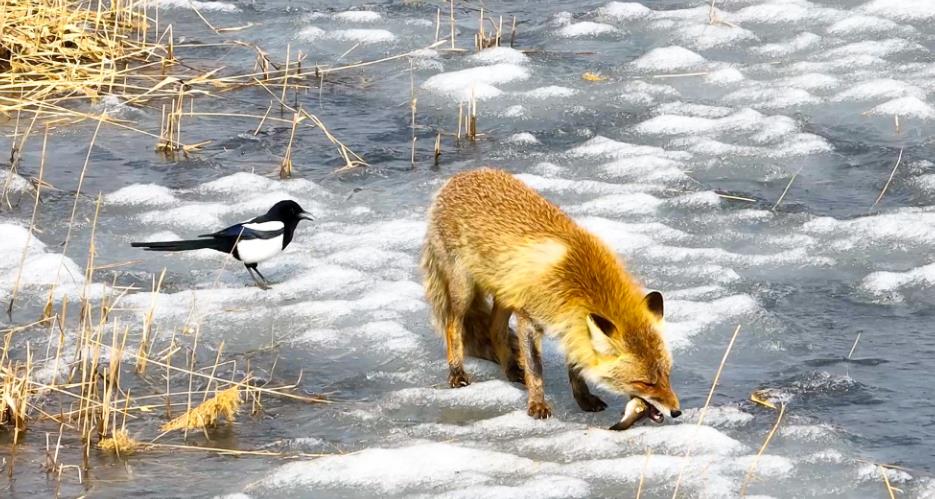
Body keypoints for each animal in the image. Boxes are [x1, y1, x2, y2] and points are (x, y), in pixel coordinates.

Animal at [422, 170, 680, 420]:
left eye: (667, 375)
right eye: (646, 383)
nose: (676, 411)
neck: (575, 278)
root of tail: (457, 177)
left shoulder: (570, 323)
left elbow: (575, 368)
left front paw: (584, 399)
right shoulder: (529, 320)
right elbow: (536, 371)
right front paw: (537, 405)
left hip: (506, 294)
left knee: (495, 330)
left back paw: (512, 370)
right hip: (463, 291)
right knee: (453, 326)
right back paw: (457, 372)